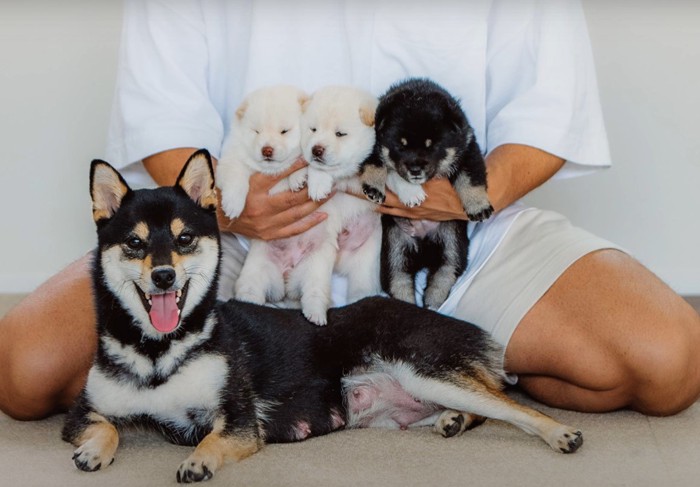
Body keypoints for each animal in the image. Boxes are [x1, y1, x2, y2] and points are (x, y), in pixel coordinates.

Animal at [64, 150, 580, 484]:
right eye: (134, 243)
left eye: (184, 238)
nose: (165, 276)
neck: (158, 353)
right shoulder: (83, 410)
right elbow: (106, 425)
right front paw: (93, 450)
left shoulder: (238, 418)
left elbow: (213, 439)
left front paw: (200, 460)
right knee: (487, 402)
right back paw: (455, 420)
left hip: (425, 370)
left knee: (512, 405)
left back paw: (560, 432)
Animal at [364, 79, 494, 308]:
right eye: (400, 145)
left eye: (432, 145)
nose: (416, 170)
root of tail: (423, 249)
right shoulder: (370, 148)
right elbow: (385, 169)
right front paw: (400, 191)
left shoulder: (468, 148)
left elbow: (471, 179)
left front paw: (478, 205)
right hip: (395, 252)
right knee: (399, 281)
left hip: (452, 244)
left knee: (444, 273)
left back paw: (433, 304)